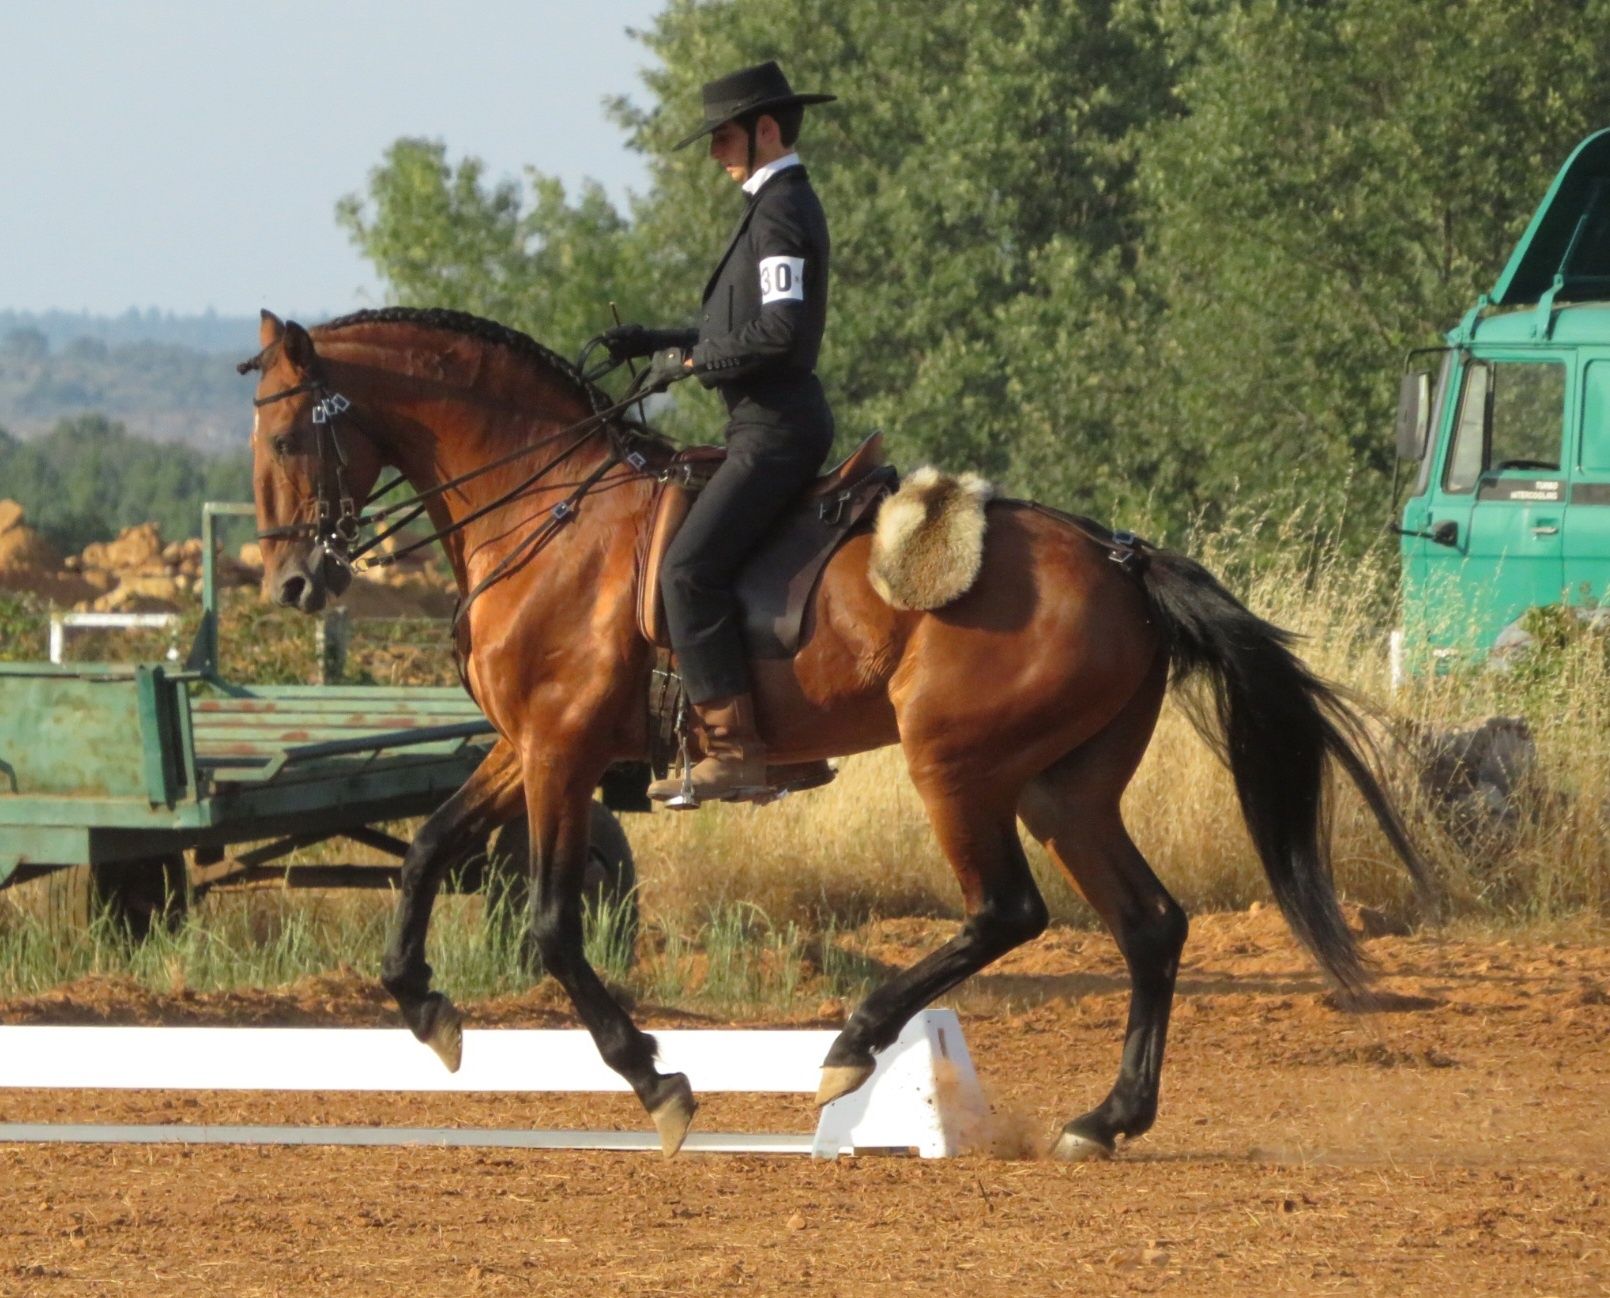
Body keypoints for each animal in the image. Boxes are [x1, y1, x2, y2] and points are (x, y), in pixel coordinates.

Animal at [244, 304, 1429, 1159]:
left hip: (956, 763)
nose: (295, 582)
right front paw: (425, 1008)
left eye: (288, 432)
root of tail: (1121, 557)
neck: (554, 511)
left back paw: (854, 1044)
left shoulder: (563, 750)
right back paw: (1104, 1119)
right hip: (1065, 785)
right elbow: (428, 851)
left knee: (1007, 910)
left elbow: (548, 925)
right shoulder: (527, 744)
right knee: (1148, 924)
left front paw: (657, 1079)